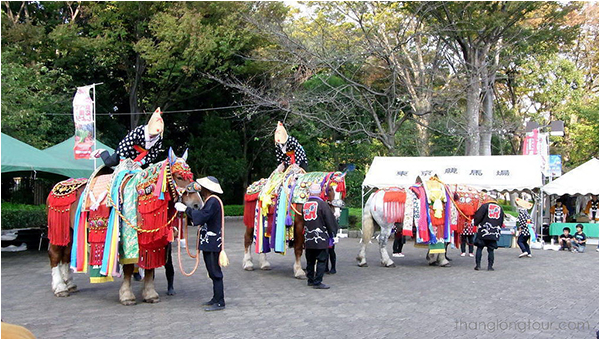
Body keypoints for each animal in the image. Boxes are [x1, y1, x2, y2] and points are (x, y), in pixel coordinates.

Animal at [46, 149, 202, 306]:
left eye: (191, 176)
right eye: (179, 176)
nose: (197, 205)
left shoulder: (151, 240)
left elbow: (150, 266)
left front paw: (150, 293)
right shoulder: (128, 239)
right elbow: (128, 267)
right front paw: (127, 295)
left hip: (71, 232)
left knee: (66, 254)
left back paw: (69, 284)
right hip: (59, 230)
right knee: (55, 254)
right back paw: (60, 287)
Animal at [358, 177, 486, 268]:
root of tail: (374, 195)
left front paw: (432, 258)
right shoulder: (443, 227)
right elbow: (443, 243)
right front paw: (442, 260)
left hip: (374, 224)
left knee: (366, 239)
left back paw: (362, 260)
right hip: (386, 225)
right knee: (381, 241)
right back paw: (387, 261)